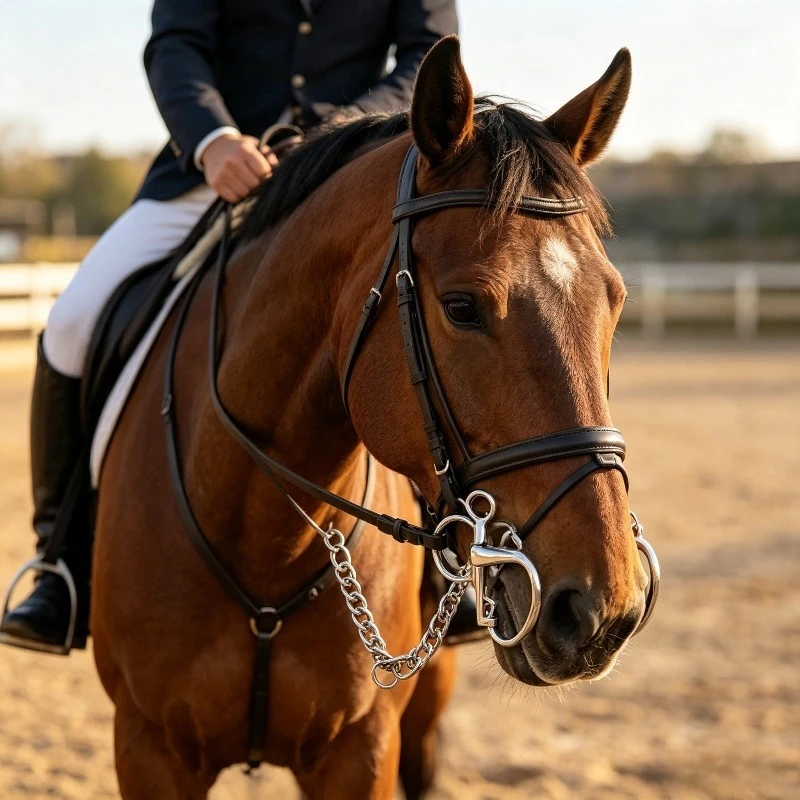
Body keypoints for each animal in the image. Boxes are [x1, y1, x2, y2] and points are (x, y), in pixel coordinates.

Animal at [90, 35, 654, 799]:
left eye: (614, 300)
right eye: (462, 307)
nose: (600, 610)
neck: (264, 532)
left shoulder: (363, 748)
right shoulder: (148, 748)